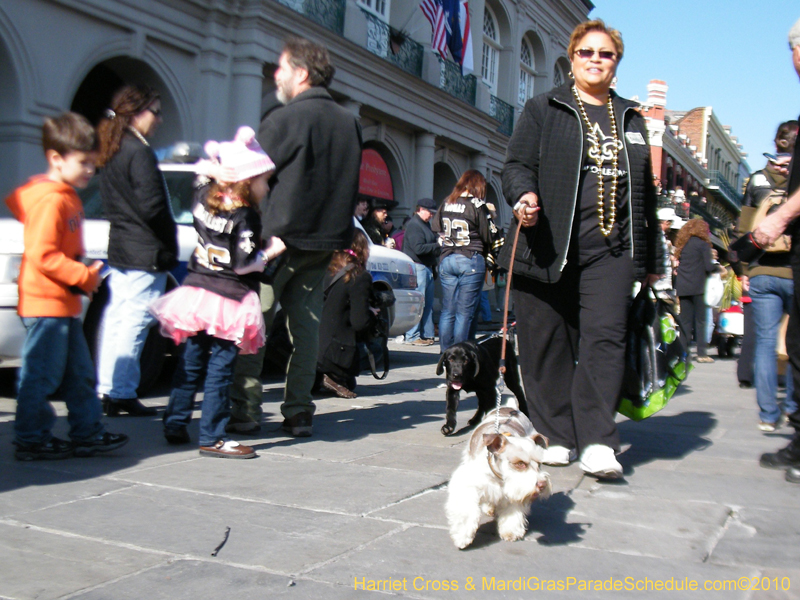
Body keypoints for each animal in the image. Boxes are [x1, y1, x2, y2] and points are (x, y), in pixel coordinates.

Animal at [444, 406, 552, 552]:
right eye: (520, 463)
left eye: (539, 463)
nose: (542, 485)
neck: (499, 478)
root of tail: (511, 408)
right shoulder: (468, 485)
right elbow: (467, 511)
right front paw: (462, 536)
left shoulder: (514, 491)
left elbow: (512, 512)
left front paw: (511, 531)